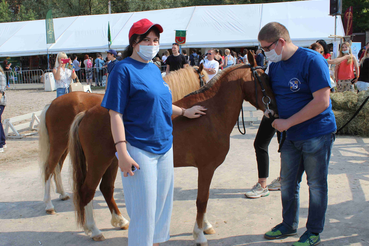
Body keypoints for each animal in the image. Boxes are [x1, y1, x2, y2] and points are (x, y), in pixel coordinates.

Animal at [40, 65, 208, 219]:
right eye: (204, 79)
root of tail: (52, 104)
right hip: (59, 145)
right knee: (49, 168)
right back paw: (48, 205)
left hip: (65, 146)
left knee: (57, 167)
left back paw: (62, 194)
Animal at [68, 56, 276, 244]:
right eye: (264, 80)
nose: (275, 111)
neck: (210, 112)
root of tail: (86, 113)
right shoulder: (206, 168)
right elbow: (202, 199)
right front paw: (199, 234)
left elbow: (204, 198)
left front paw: (205, 226)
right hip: (99, 163)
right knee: (87, 191)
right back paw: (94, 230)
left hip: (113, 162)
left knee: (105, 188)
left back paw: (120, 221)